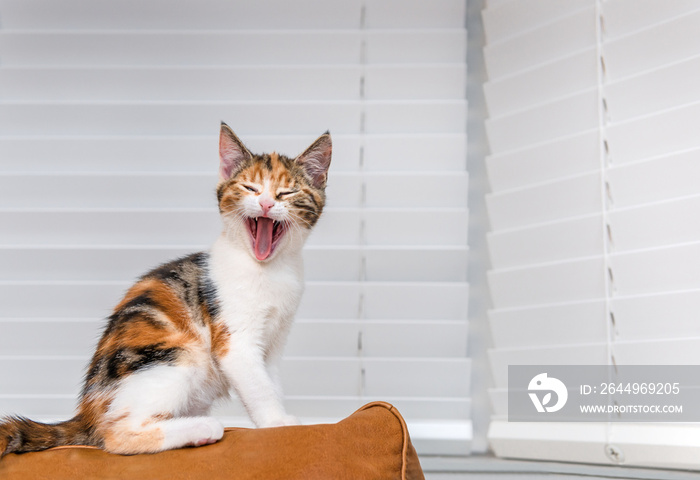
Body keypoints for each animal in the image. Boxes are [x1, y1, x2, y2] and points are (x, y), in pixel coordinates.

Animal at [0, 122, 332, 456]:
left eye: (287, 192)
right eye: (250, 188)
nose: (266, 203)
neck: (268, 269)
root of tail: (86, 412)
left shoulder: (275, 341)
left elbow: (270, 379)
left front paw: (279, 416)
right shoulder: (235, 340)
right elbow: (258, 386)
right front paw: (277, 422)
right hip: (179, 357)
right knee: (115, 435)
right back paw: (202, 428)